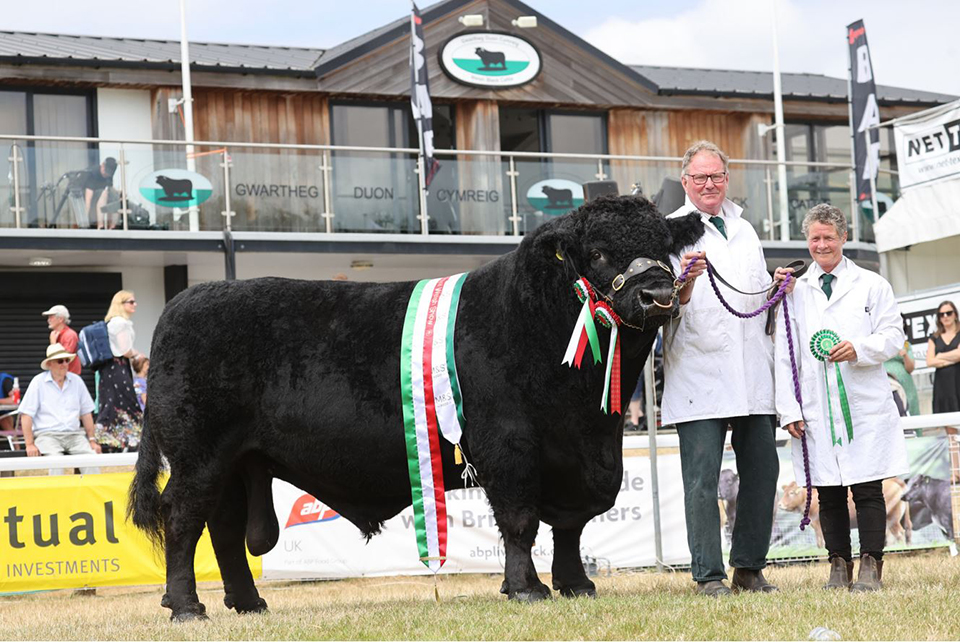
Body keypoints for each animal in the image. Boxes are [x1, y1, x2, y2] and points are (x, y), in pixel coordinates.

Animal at [129, 194, 704, 616]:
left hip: (234, 461)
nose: (658, 294)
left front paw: (575, 583)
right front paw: (527, 588)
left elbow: (572, 523)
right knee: (182, 517)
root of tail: (184, 301)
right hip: (198, 455)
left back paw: (248, 603)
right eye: (600, 252)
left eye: (665, 246)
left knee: (223, 528)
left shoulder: (586, 455)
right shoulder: (509, 444)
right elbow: (520, 519)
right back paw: (185, 606)